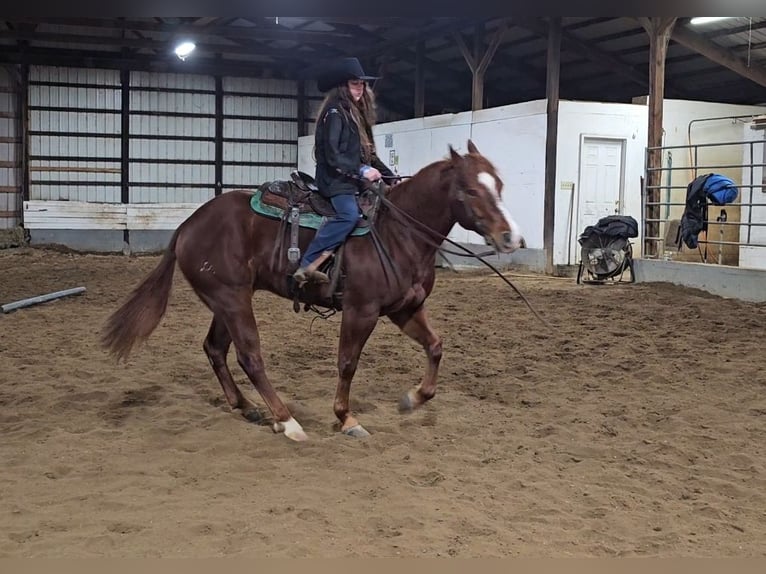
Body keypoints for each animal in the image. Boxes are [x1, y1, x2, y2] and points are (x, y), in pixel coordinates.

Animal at [103, 142, 528, 444]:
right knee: (250, 357)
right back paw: (287, 421)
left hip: (226, 302)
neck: (397, 232)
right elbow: (347, 363)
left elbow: (436, 346)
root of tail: (189, 225)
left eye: (499, 185)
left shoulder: (405, 308)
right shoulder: (361, 311)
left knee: (215, 349)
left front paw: (412, 399)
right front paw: (346, 418)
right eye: (471, 190)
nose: (511, 237)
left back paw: (247, 407)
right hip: (232, 300)